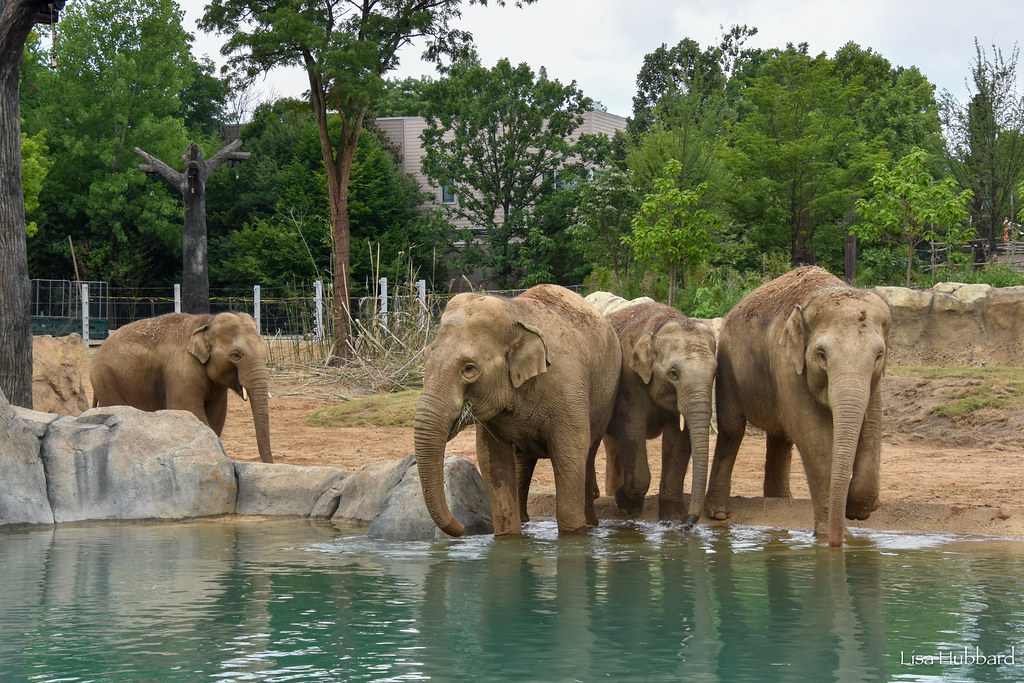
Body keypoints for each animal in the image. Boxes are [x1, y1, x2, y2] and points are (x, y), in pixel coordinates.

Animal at [90, 311, 274, 464]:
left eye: (265, 351)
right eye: (236, 355)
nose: (269, 464)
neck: (206, 322)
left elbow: (216, 419)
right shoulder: (181, 372)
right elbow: (190, 411)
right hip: (107, 380)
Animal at [411, 284, 618, 540]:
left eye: (469, 368)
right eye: (426, 357)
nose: (461, 529)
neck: (514, 313)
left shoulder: (569, 389)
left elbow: (570, 451)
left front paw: (573, 535)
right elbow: (492, 460)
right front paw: (508, 539)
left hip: (605, 398)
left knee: (589, 451)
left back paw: (591, 525)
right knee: (523, 460)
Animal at [602, 303, 716, 524]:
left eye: (715, 373)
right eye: (673, 374)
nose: (689, 522)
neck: (660, 324)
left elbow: (678, 441)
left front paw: (672, 518)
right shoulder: (629, 379)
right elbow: (631, 429)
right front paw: (627, 507)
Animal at [704, 264, 888, 548]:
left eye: (879, 355)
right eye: (821, 354)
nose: (837, 541)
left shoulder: (875, 379)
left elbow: (871, 429)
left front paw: (859, 510)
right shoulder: (787, 363)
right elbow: (814, 438)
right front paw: (828, 534)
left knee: (780, 437)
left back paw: (780, 502)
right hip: (727, 366)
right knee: (732, 429)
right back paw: (719, 514)